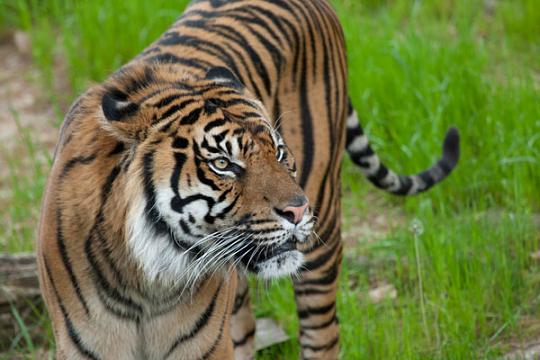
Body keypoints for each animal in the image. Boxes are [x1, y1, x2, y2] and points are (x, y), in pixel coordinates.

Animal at [39, 0, 460, 360]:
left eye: (278, 152)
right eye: (224, 163)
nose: (298, 211)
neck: (146, 279)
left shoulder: (203, 346)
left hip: (322, 231)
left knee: (322, 333)